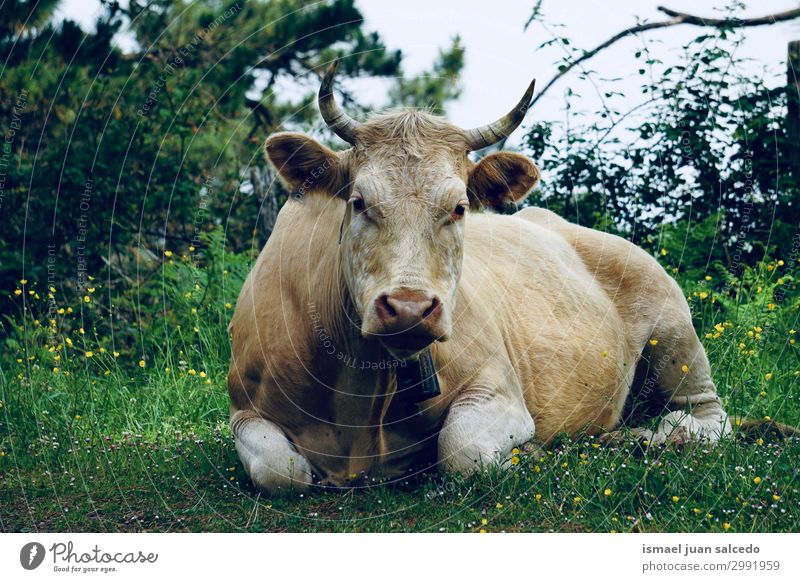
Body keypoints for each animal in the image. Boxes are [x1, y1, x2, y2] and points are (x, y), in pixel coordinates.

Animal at [225, 61, 732, 496]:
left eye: (459, 207)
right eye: (359, 201)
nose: (409, 308)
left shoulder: (497, 388)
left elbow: (462, 450)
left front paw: (531, 452)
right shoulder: (242, 409)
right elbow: (280, 470)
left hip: (675, 334)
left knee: (710, 417)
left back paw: (657, 438)